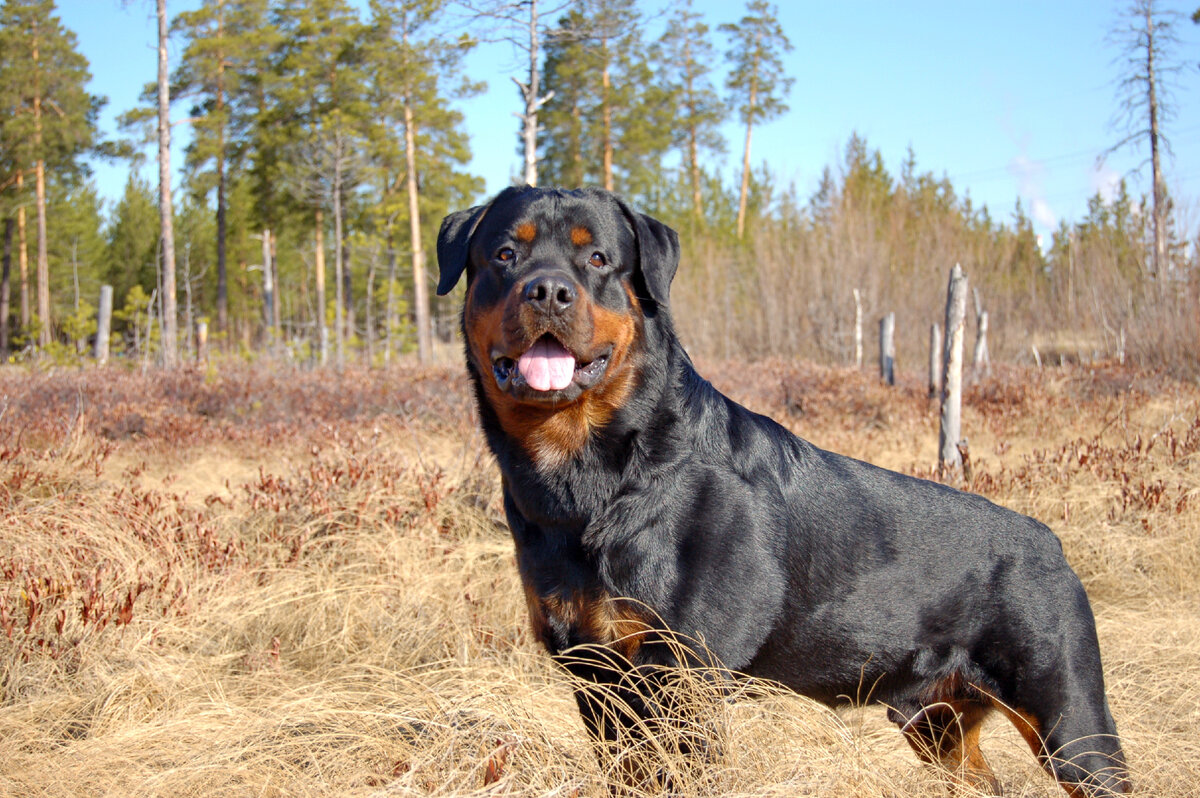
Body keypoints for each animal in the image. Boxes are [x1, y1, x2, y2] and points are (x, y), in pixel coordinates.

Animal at [436, 187, 1128, 796]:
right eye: (505, 254)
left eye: (599, 259)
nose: (548, 290)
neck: (587, 474)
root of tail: (1050, 543)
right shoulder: (597, 677)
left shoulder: (683, 677)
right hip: (940, 726)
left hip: (1070, 722)